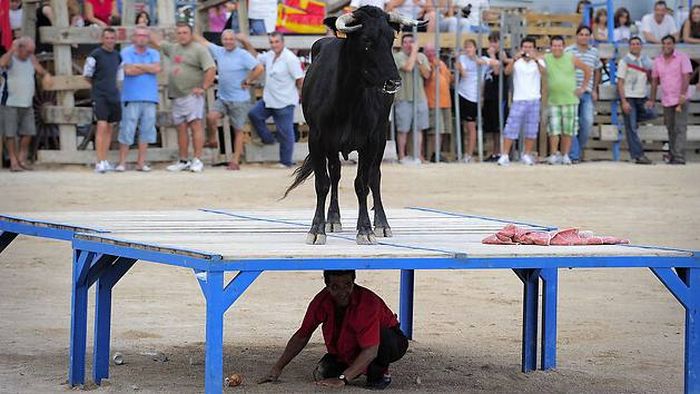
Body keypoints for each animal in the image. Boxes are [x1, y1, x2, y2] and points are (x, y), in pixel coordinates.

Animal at [284, 6, 422, 243]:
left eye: (391, 39)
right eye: (366, 40)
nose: (394, 82)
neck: (347, 99)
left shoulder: (370, 141)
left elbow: (362, 184)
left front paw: (365, 229)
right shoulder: (317, 139)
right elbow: (322, 183)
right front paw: (317, 229)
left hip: (380, 139)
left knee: (375, 177)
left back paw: (382, 224)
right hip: (332, 146)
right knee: (335, 173)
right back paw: (333, 219)